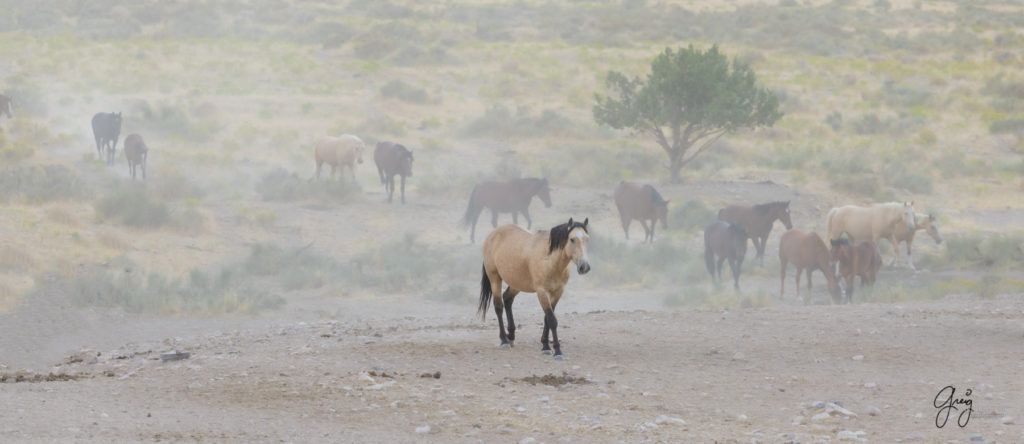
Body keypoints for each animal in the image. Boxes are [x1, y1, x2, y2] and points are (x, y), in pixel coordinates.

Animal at [479, 216, 593, 358]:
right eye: (572, 239)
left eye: (587, 238)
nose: (584, 267)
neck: (549, 260)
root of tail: (492, 234)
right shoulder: (541, 291)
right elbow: (552, 320)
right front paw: (556, 351)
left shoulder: (557, 292)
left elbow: (547, 319)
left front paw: (545, 344)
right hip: (495, 278)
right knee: (498, 307)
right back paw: (504, 340)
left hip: (517, 283)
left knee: (507, 299)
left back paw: (511, 336)